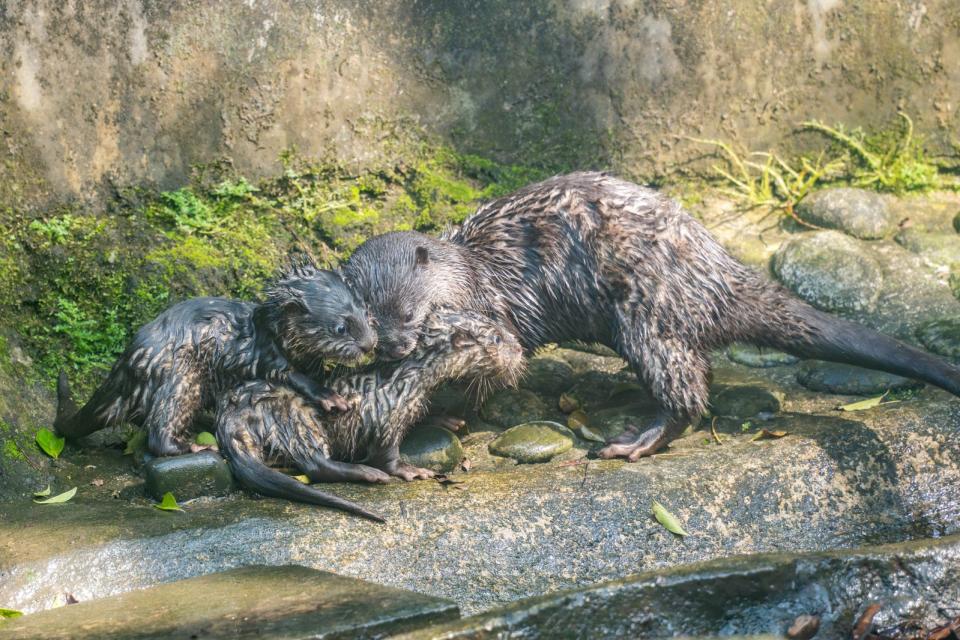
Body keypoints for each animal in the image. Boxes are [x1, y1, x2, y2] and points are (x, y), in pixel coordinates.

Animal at [51, 260, 376, 456]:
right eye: (341, 327)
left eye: (366, 311)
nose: (369, 344)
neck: (273, 334)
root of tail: (129, 364)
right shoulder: (265, 355)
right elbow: (289, 376)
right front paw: (330, 397)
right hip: (180, 377)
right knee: (159, 433)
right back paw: (196, 446)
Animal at [216, 312, 524, 520]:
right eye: (497, 338)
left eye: (502, 329)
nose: (519, 348)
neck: (410, 378)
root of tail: (230, 416)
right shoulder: (387, 411)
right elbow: (386, 452)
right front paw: (409, 471)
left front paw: (447, 420)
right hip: (293, 416)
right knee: (314, 465)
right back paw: (369, 474)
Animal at [348, 170, 960, 460]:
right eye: (364, 322)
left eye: (408, 311)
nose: (393, 348)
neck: (473, 273)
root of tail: (715, 274)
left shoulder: (496, 320)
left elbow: (497, 373)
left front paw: (446, 414)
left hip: (647, 318)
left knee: (687, 393)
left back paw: (633, 441)